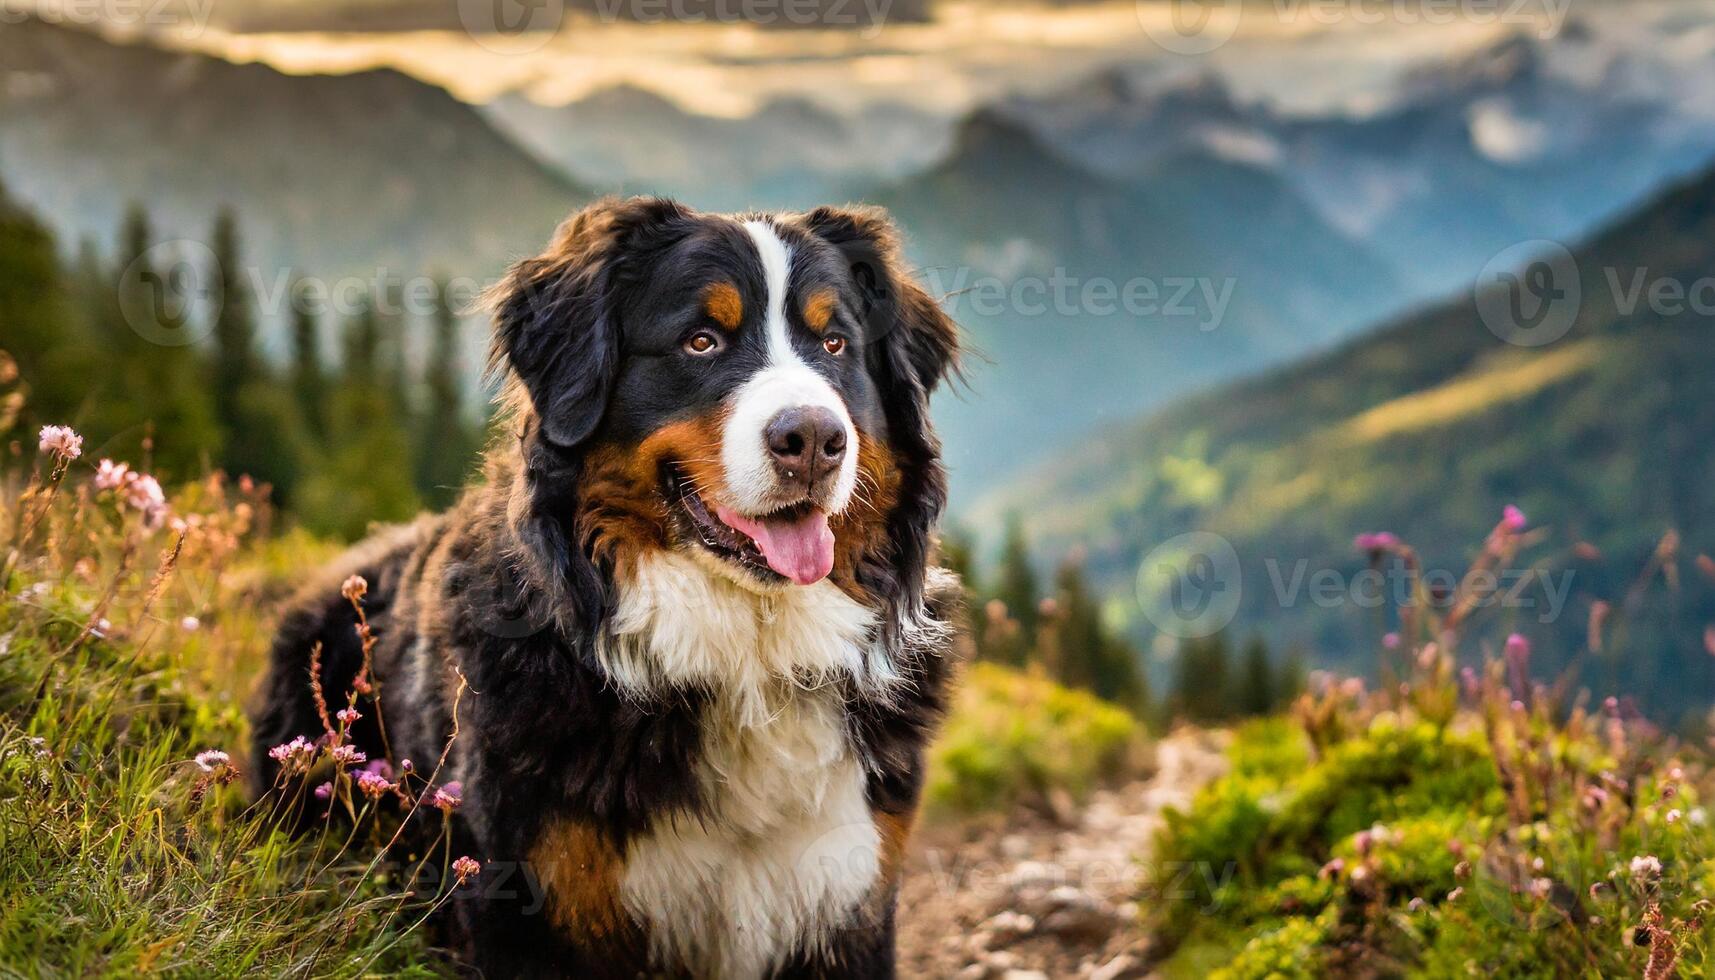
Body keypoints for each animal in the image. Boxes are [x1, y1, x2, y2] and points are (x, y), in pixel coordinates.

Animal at [248, 195, 967, 974]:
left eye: (835, 344)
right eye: (701, 341)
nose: (812, 440)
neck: (744, 651)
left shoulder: (852, 886)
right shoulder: (531, 897)